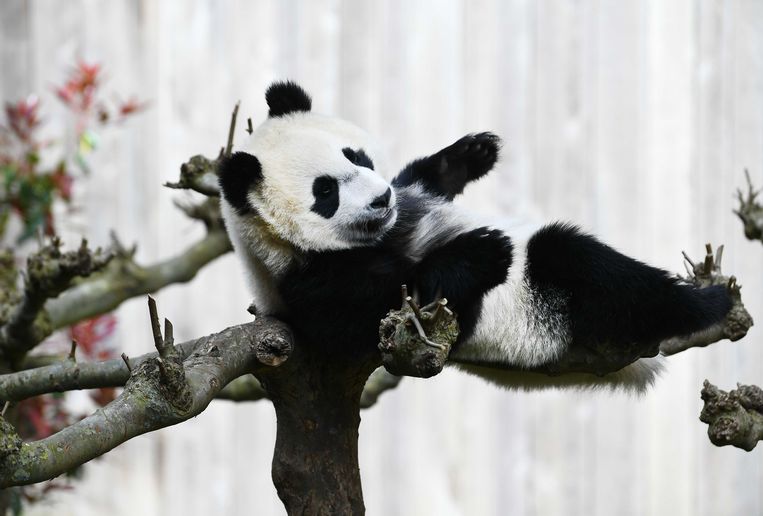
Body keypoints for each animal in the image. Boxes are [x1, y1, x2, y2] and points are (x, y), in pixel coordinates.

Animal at [216, 80, 736, 392]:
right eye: (325, 192)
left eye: (355, 156)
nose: (382, 199)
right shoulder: (313, 284)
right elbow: (403, 301)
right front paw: (483, 250)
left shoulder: (406, 202)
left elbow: (423, 182)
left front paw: (472, 153)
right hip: (542, 318)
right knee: (581, 264)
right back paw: (703, 303)